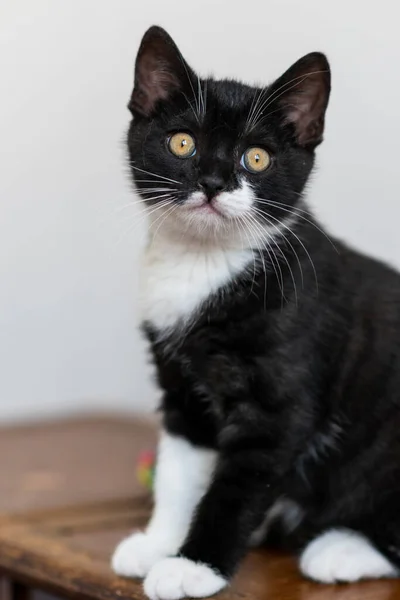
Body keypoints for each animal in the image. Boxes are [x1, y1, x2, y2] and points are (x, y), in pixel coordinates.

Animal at [111, 27, 400, 600]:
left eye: (257, 158)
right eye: (183, 143)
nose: (213, 181)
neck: (204, 265)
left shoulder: (280, 401)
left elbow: (238, 487)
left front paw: (194, 566)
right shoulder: (181, 388)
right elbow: (180, 471)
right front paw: (160, 543)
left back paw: (342, 548)